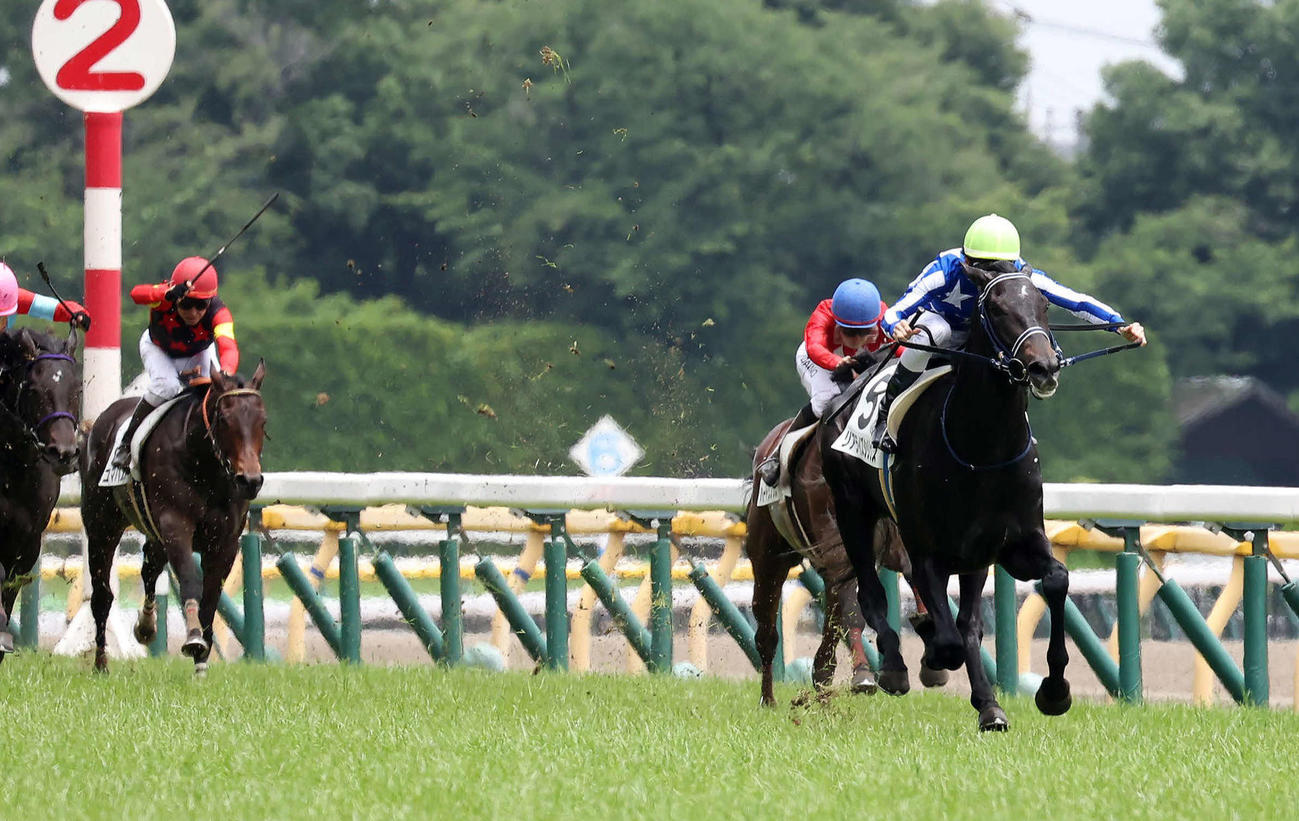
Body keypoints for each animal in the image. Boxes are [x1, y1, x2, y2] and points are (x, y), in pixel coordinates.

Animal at [79, 362, 266, 675]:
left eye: (262, 421)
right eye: (224, 420)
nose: (250, 481)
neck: (205, 466)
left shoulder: (225, 543)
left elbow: (211, 597)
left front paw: (201, 661)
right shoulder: (176, 526)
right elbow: (190, 578)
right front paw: (193, 638)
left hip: (152, 532)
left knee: (149, 567)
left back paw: (145, 626)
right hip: (101, 525)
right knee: (102, 596)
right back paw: (101, 663)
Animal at [746, 407, 946, 706]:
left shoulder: (895, 541)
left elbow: (914, 580)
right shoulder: (839, 550)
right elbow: (854, 610)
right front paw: (863, 674)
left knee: (831, 620)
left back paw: (822, 677)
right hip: (767, 559)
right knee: (767, 632)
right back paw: (769, 698)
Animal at [823, 261, 1072, 731]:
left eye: (1044, 303)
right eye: (996, 308)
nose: (1043, 367)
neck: (981, 450)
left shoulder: (1011, 543)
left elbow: (1054, 580)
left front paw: (1053, 691)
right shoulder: (927, 550)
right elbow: (947, 634)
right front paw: (931, 651)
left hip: (971, 555)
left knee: (967, 622)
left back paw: (989, 706)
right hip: (851, 509)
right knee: (871, 593)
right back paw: (895, 667)